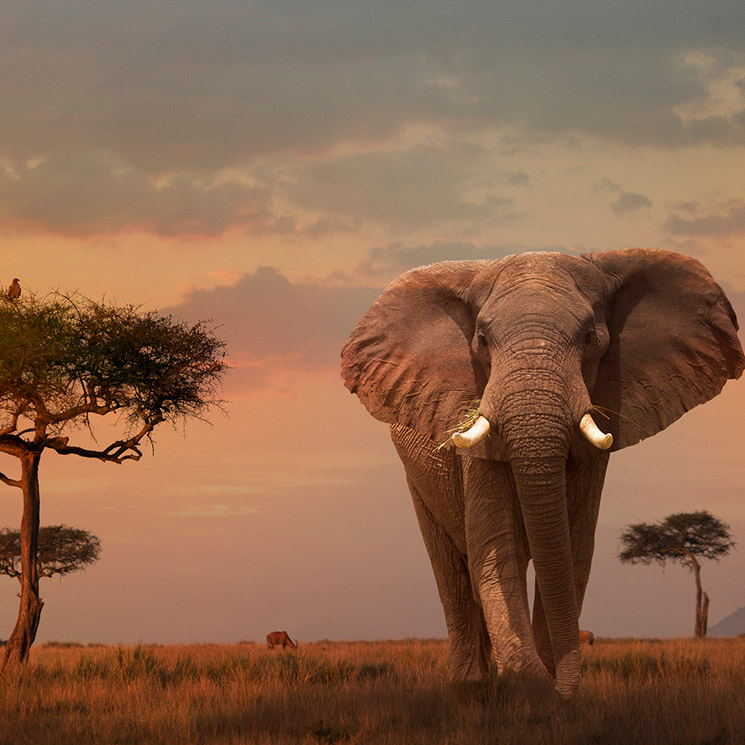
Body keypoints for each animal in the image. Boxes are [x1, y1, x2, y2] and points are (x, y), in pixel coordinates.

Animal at [340, 247, 740, 696]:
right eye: (481, 340)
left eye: (590, 338)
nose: (559, 688)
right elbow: (497, 548)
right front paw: (528, 685)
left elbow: (574, 550)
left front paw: (548, 692)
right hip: (417, 477)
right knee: (453, 573)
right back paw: (470, 687)